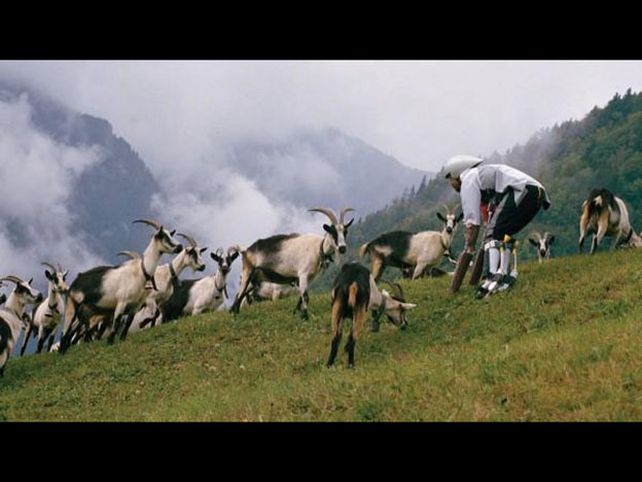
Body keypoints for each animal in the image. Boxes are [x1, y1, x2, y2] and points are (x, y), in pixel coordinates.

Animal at [60, 219, 182, 352]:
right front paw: (110, 343)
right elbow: (117, 322)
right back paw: (61, 351)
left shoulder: (136, 305)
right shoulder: (122, 301)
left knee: (75, 331)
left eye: (171, 234)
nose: (180, 246)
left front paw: (123, 338)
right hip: (72, 305)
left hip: (87, 312)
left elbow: (129, 322)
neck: (139, 272)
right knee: (66, 331)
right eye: (163, 236)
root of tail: (75, 282)